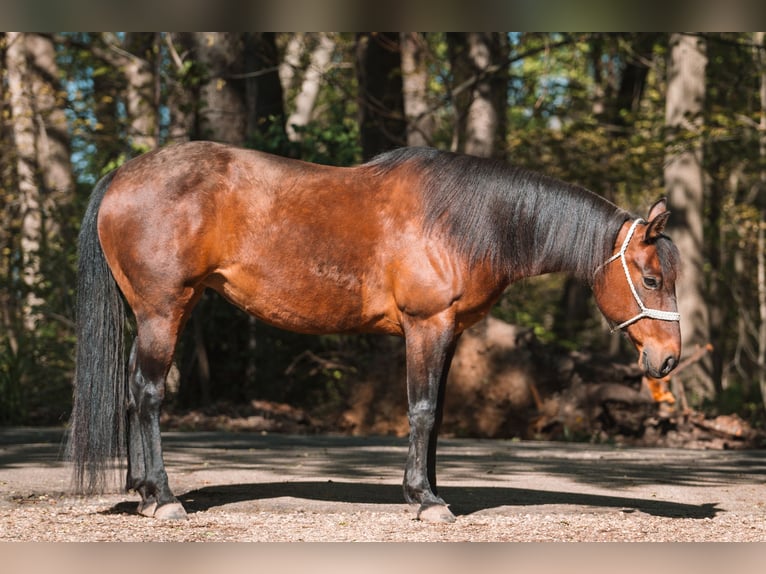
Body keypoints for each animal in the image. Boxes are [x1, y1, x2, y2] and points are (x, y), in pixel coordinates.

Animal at [68, 141, 681, 523]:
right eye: (652, 279)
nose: (668, 359)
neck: (465, 219)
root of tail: (123, 175)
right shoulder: (426, 327)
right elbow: (422, 411)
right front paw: (425, 500)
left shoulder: (449, 333)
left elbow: (436, 417)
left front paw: (430, 491)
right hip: (162, 311)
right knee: (148, 395)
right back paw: (165, 497)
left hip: (160, 313)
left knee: (133, 393)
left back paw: (144, 492)